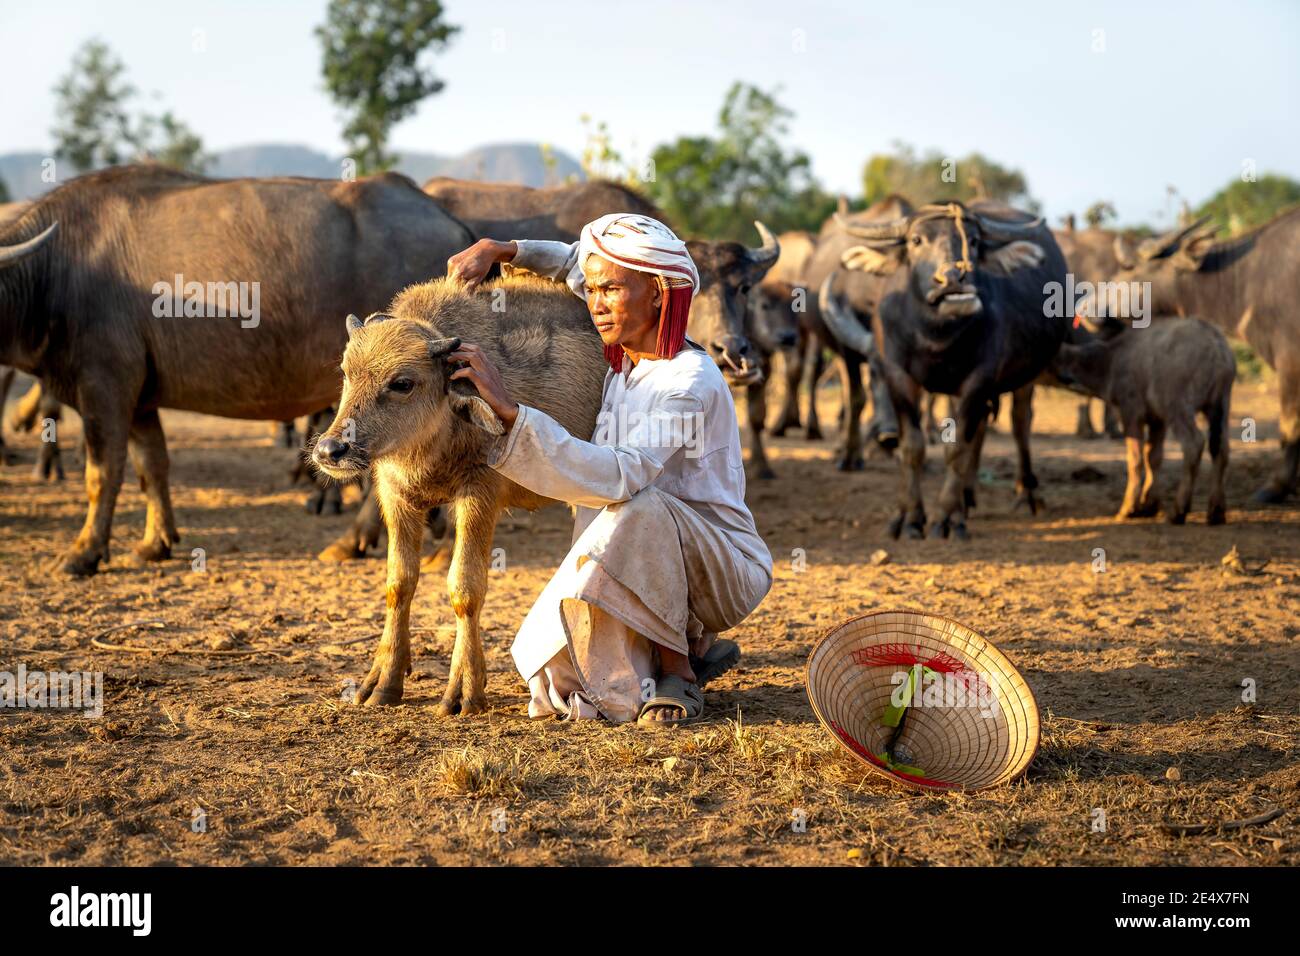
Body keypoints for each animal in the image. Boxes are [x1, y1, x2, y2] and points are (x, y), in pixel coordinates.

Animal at [0, 164, 478, 574]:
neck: (57, 272)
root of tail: (448, 218)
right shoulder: (139, 401)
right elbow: (152, 467)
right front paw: (156, 542)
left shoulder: (105, 387)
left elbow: (102, 475)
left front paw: (83, 553)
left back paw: (359, 539)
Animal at [312, 274, 605, 712]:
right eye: (347, 372)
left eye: (402, 383)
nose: (331, 450)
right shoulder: (397, 496)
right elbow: (399, 583)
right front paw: (382, 683)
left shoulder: (478, 496)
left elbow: (465, 587)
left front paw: (463, 691)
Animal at [821, 200, 1066, 538]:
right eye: (916, 240)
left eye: (973, 241)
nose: (952, 279)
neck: (936, 336)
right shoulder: (900, 376)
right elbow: (913, 446)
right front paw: (909, 518)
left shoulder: (977, 381)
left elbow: (957, 449)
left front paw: (947, 518)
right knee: (982, 428)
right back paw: (968, 494)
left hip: (1025, 376)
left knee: (1020, 423)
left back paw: (1026, 493)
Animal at [1050, 317, 1232, 528]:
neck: (1113, 358)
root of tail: (1216, 346)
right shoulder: (1157, 421)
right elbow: (1153, 457)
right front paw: (1149, 505)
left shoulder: (1131, 414)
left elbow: (1135, 459)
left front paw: (1129, 508)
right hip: (1220, 406)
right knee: (1221, 448)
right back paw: (1216, 511)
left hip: (1178, 408)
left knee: (1193, 444)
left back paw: (1179, 511)